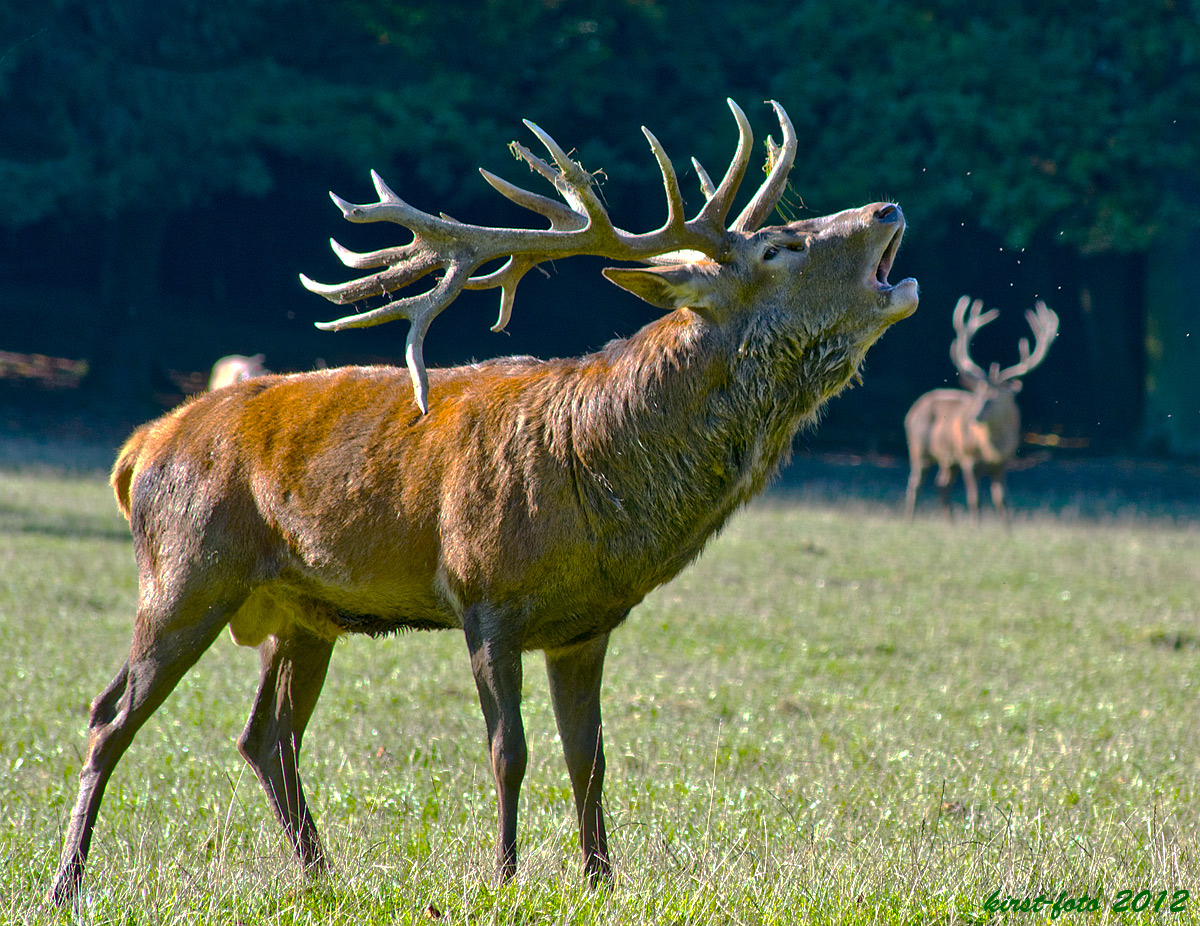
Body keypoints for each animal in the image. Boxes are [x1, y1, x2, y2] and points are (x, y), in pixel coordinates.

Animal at [44, 101, 916, 902]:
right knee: (109, 715)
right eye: (781, 246)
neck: (603, 484)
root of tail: (139, 447)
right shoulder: (485, 593)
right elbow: (510, 750)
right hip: (187, 572)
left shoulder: (587, 625)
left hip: (300, 611)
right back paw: (67, 882)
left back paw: (325, 878)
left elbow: (590, 758)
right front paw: (505, 876)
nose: (887, 208)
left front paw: (602, 881)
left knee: (266, 737)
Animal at [902, 299, 1056, 525]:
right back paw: (909, 521)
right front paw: (977, 527)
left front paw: (1007, 529)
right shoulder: (968, 457)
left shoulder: (1003, 462)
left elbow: (1002, 499)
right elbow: (975, 499)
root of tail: (913, 409)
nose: (973, 417)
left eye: (995, 397)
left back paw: (951, 524)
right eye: (978, 394)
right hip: (919, 448)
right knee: (915, 483)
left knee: (942, 484)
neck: (992, 448)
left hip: (948, 459)